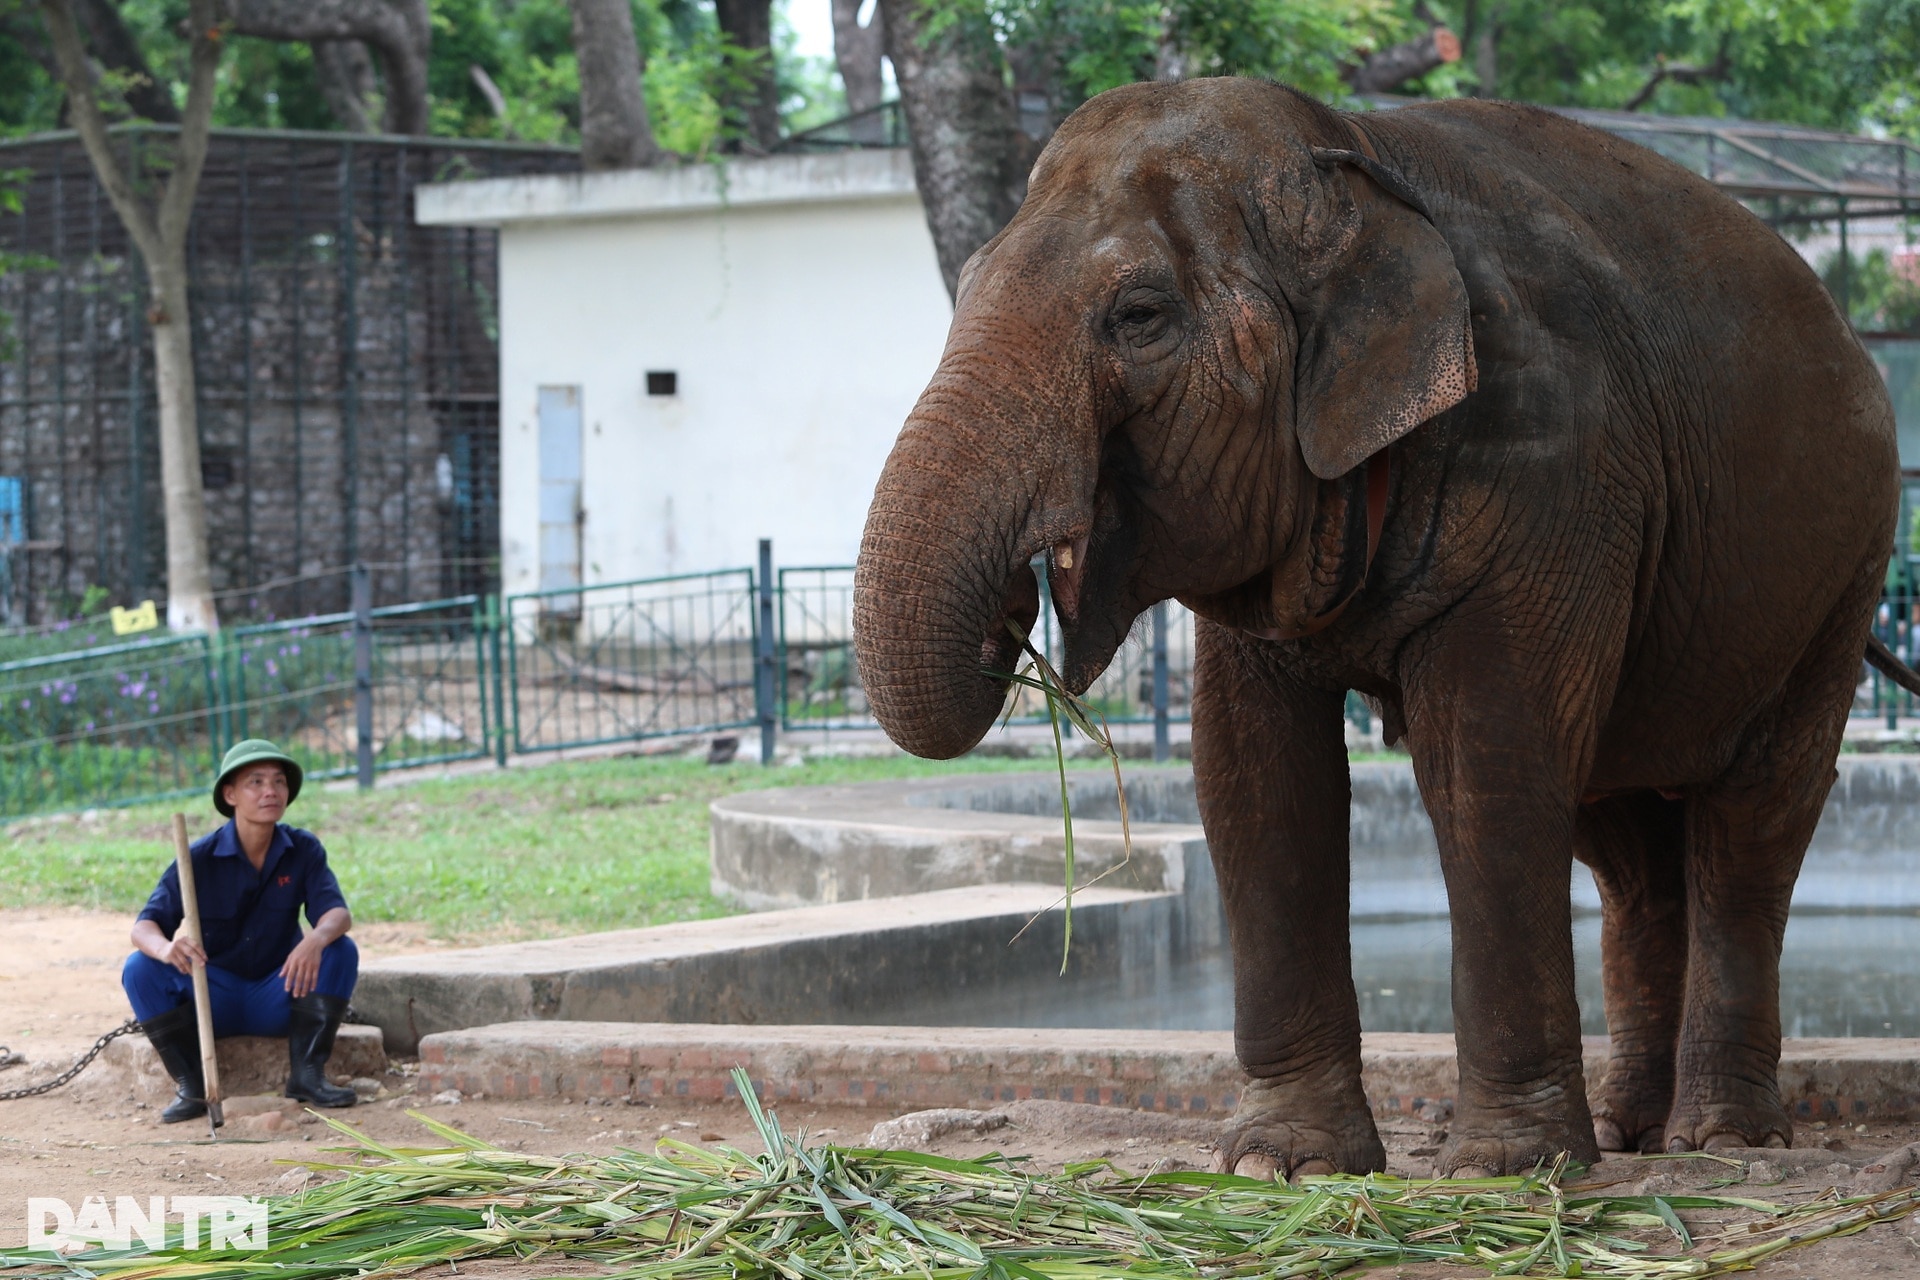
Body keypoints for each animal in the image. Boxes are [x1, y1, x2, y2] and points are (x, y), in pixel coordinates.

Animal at [860, 77, 1920, 1182]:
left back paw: (1722, 1141)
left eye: (1139, 315)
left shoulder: (1553, 466)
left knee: (1750, 822)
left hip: (1842, 569)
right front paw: (1283, 1163)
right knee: (1625, 845)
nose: (1015, 605)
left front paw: (1504, 1168)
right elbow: (1252, 776)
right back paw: (1632, 1131)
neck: (1354, 148)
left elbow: (1491, 762)